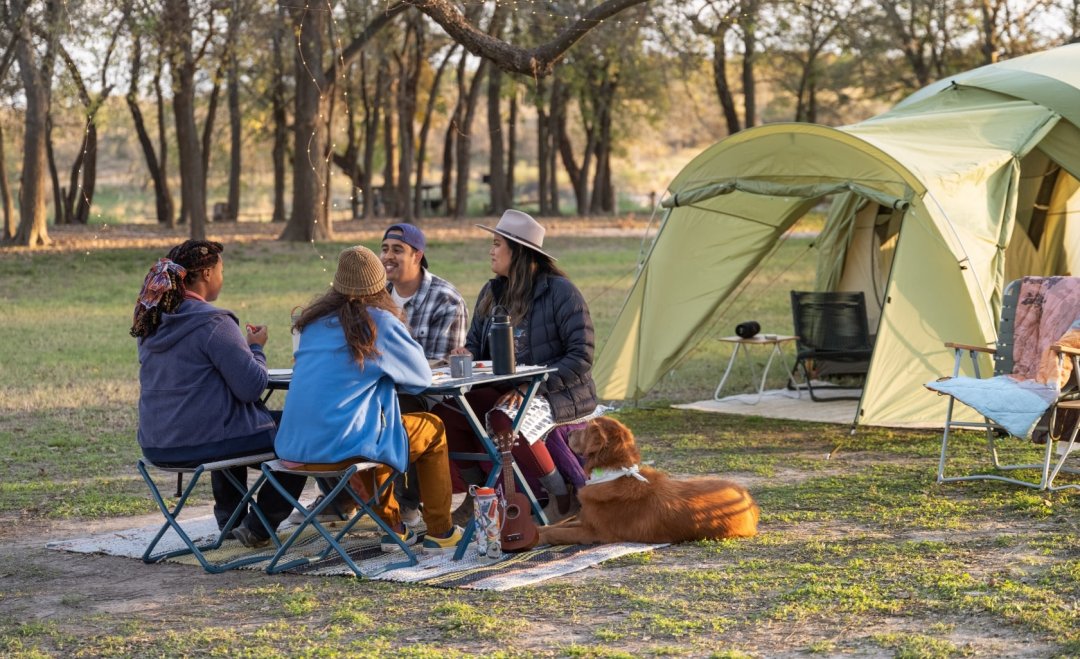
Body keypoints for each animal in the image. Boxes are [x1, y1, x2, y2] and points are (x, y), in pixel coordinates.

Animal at [540, 414, 760, 544]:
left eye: (585, 429)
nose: (568, 433)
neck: (612, 472)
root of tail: (749, 501)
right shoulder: (583, 520)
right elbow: (557, 525)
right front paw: (538, 529)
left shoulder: (594, 533)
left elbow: (556, 533)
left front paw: (538, 539)